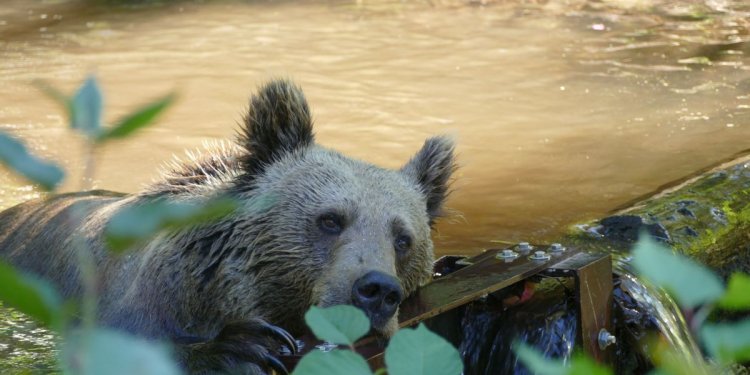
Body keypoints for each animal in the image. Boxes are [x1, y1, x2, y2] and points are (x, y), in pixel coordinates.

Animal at [0, 78, 458, 374]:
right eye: (330, 219)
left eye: (402, 239)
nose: (376, 289)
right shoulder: (142, 306)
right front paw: (247, 346)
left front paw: (448, 264)